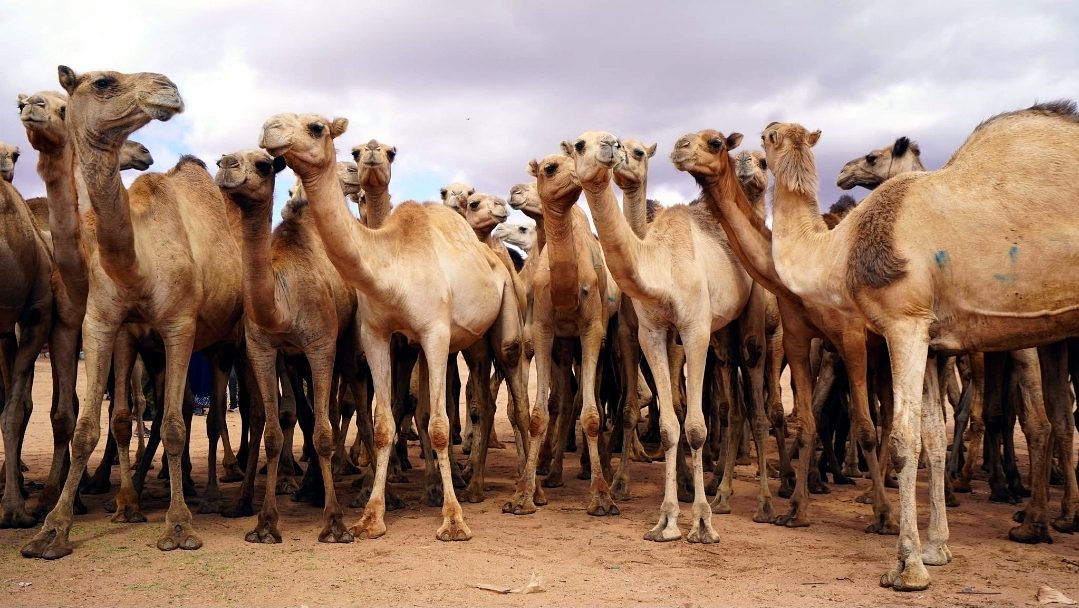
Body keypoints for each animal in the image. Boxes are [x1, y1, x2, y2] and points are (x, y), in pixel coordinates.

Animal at [22, 66, 244, 560]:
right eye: (103, 82)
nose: (169, 88)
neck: (136, 262)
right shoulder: (105, 325)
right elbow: (93, 425)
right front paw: (54, 528)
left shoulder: (179, 325)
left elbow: (177, 425)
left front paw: (178, 525)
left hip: (226, 342)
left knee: (218, 414)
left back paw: (219, 494)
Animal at [259, 112, 528, 541]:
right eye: (354, 151)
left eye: (316, 127)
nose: (271, 127)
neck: (391, 266)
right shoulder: (376, 336)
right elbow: (383, 421)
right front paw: (371, 516)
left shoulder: (434, 334)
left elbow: (437, 424)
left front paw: (453, 520)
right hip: (473, 343)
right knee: (483, 398)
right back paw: (479, 485)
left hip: (505, 320)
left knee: (516, 392)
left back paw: (524, 495)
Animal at [566, 131, 756, 542]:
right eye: (578, 144)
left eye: (634, 150)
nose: (610, 146)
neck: (662, 267)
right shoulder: (652, 332)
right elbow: (670, 427)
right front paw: (666, 520)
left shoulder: (696, 329)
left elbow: (697, 428)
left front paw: (702, 522)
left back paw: (727, 494)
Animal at [672, 130, 899, 541]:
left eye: (715, 143)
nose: (679, 147)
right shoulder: (780, 339)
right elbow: (766, 415)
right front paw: (787, 505)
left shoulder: (840, 337)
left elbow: (859, 425)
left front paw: (884, 515)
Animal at [757, 100, 1079, 590]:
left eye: (767, 138)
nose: (842, 171)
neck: (840, 247)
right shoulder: (933, 338)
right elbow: (932, 436)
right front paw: (937, 549)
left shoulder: (903, 321)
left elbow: (904, 438)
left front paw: (907, 565)